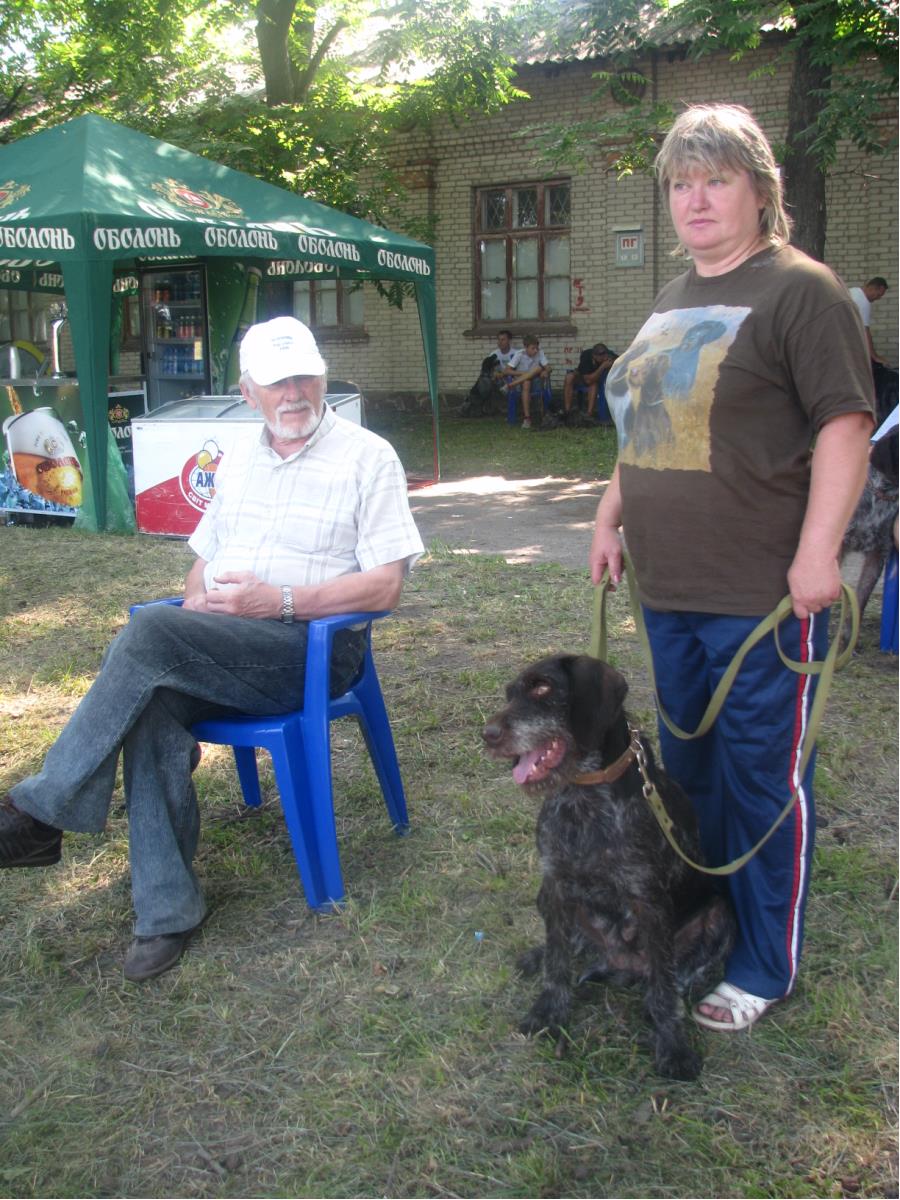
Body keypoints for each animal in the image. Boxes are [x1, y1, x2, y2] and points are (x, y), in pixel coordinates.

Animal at [483, 654, 735, 1080]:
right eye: (510, 693)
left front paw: (673, 1046)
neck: (583, 794)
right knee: (571, 944)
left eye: (542, 687)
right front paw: (548, 1011)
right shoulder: (555, 883)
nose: (488, 735)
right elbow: (557, 962)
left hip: (720, 913)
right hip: (547, 897)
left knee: (677, 974)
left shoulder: (649, 903)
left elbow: (665, 987)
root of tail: (616, 963)